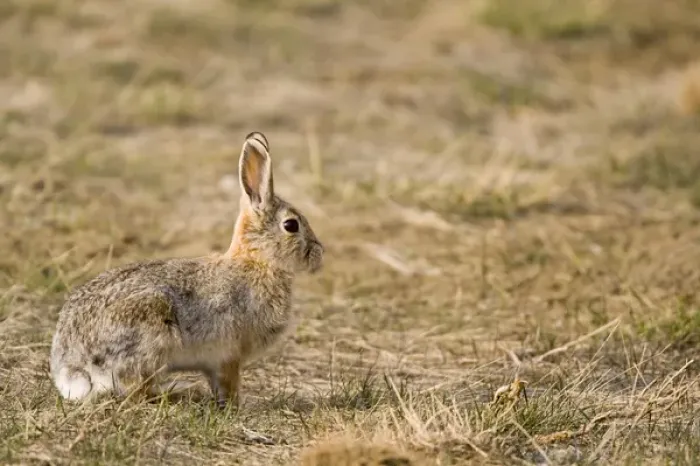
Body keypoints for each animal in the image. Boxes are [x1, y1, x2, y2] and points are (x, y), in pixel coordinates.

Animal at [49, 131, 324, 407]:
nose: (319, 254)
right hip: (151, 334)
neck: (258, 262)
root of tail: (74, 367)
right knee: (135, 390)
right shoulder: (229, 356)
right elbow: (229, 384)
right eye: (291, 225)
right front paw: (238, 405)